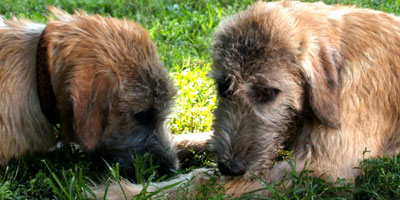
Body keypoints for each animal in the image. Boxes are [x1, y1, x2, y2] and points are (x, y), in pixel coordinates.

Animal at [93, 0, 400, 198]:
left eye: (268, 92)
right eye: (223, 86)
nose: (230, 167)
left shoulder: (326, 168)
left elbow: (204, 183)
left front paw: (122, 192)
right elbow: (204, 141)